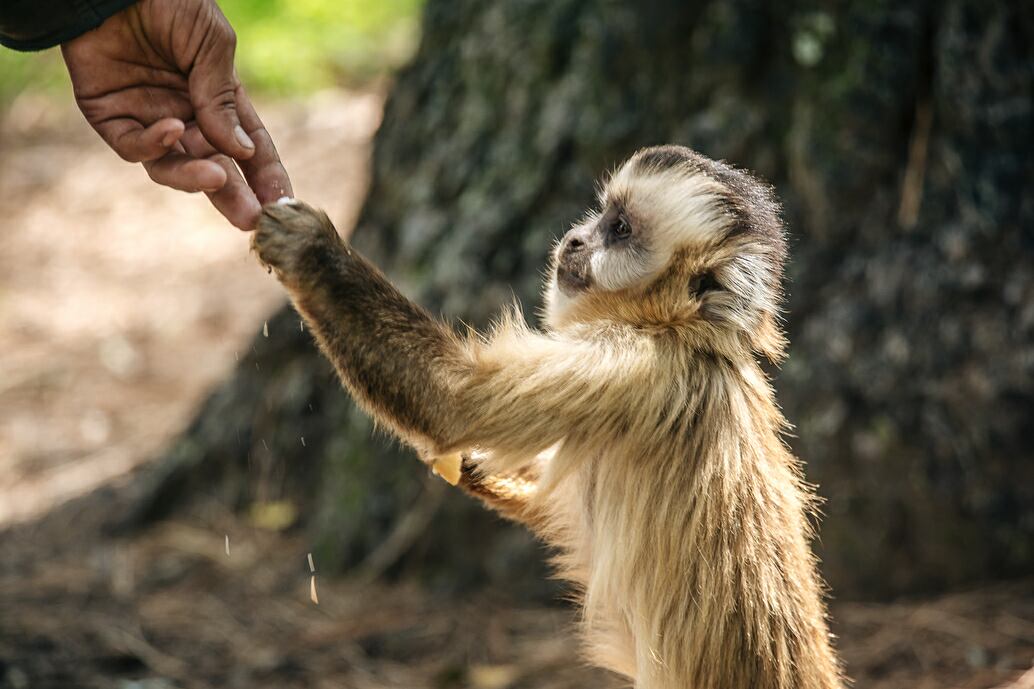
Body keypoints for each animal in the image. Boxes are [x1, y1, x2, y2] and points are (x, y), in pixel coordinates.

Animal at [251, 145, 845, 689]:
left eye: (619, 229)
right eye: (601, 215)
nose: (577, 238)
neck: (687, 335)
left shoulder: (632, 364)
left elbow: (453, 403)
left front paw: (313, 252)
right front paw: (474, 468)